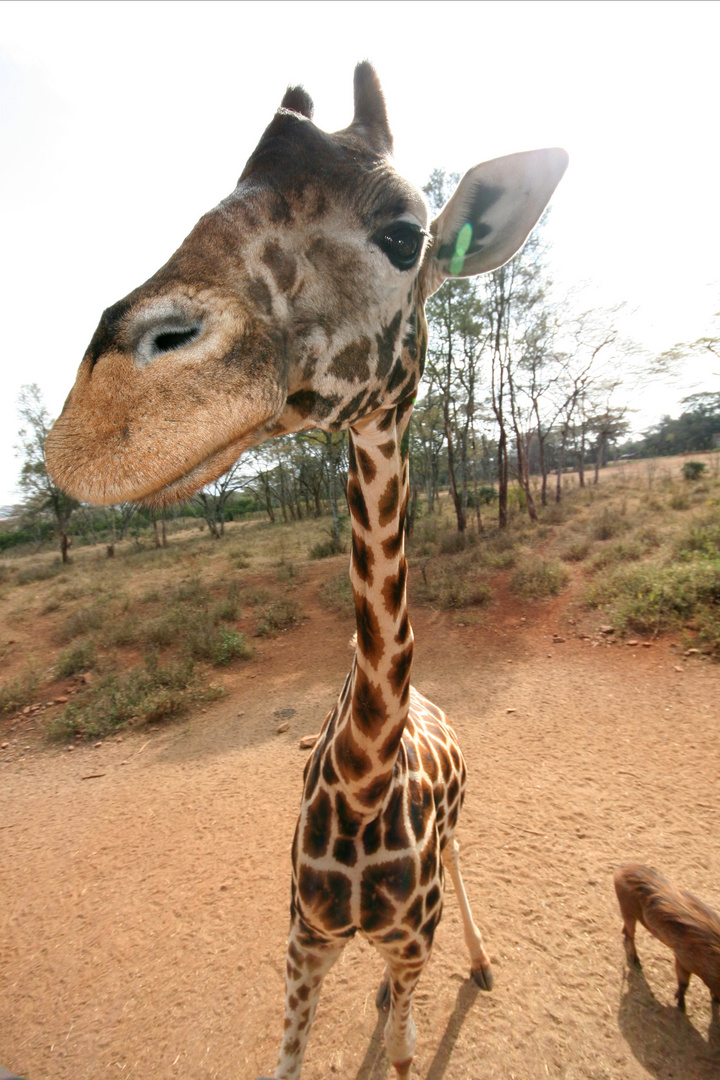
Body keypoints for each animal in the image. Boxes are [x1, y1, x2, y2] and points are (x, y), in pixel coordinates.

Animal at [46, 65, 569, 1080]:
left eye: (405, 238)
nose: (104, 414)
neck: (368, 775)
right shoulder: (301, 940)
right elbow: (287, 1059)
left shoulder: (407, 945)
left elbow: (403, 1052)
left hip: (448, 863)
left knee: (458, 871)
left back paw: (482, 962)